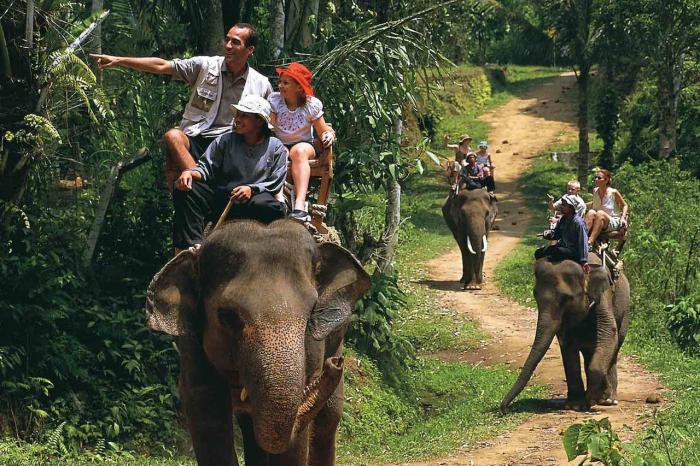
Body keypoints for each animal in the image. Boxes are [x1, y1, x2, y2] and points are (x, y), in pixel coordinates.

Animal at [145, 219, 370, 465]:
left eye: (311, 313)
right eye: (228, 316)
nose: (336, 363)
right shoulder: (191, 343)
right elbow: (208, 410)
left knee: (328, 419)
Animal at [500, 253, 630, 411]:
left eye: (567, 298)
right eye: (535, 296)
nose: (503, 407)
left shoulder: (604, 294)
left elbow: (608, 330)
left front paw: (597, 398)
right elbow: (567, 343)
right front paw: (576, 405)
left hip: (625, 312)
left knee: (614, 346)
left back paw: (609, 400)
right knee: (590, 351)